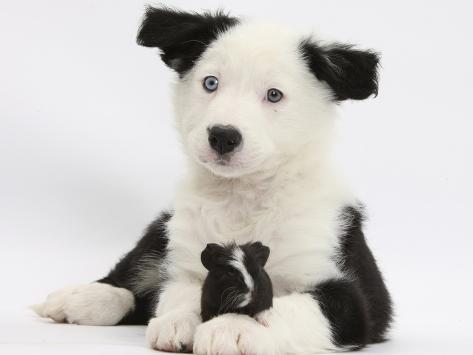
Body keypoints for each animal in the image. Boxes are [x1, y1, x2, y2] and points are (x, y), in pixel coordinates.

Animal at [35, 6, 392, 355]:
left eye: (274, 95)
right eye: (210, 83)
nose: (222, 136)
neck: (241, 196)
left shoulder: (348, 295)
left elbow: (285, 306)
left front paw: (233, 327)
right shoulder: (187, 259)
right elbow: (180, 292)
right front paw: (179, 321)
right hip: (164, 226)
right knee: (138, 274)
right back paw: (81, 298)